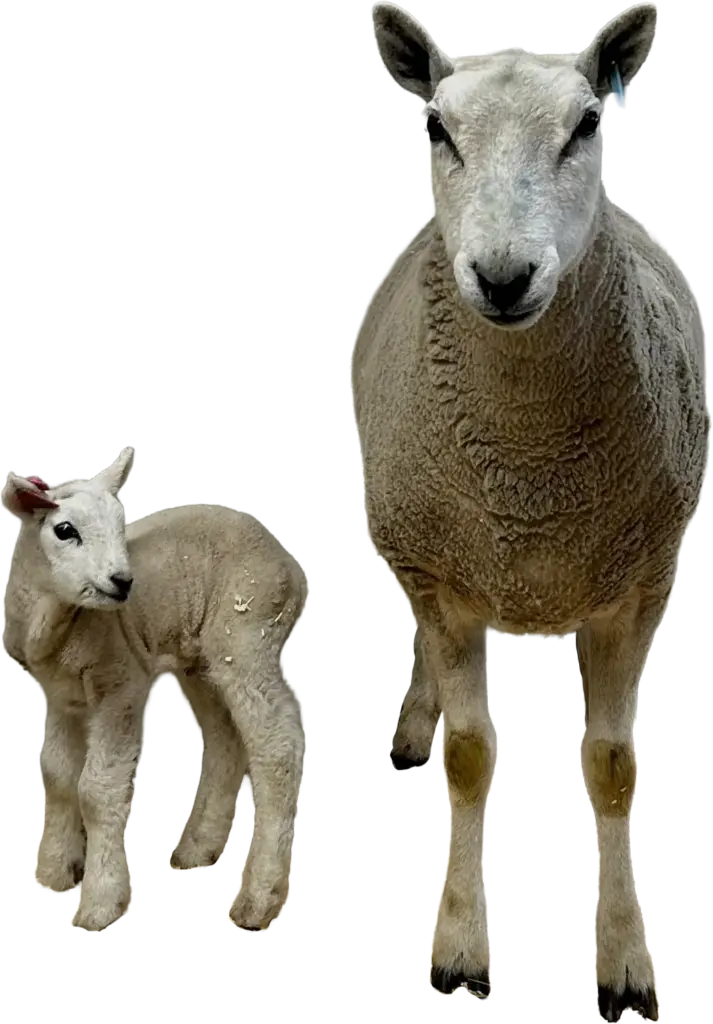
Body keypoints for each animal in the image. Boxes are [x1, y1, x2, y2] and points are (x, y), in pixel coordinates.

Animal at [1, 447, 308, 933]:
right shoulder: (60, 696)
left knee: (277, 749)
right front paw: (54, 873)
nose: (123, 581)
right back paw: (196, 849)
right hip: (199, 659)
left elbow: (97, 790)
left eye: (120, 522)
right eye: (64, 530)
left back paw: (258, 901)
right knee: (225, 741)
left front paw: (99, 904)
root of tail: (291, 566)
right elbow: (56, 776)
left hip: (249, 635)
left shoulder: (121, 684)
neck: (54, 624)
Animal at [353, 2, 711, 1018]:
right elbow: (470, 757)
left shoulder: (644, 579)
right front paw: (460, 949)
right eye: (436, 129)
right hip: (411, 527)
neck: (527, 474)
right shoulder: (441, 575)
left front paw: (624, 961)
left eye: (586, 123)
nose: (504, 276)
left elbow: (613, 767)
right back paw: (415, 719)